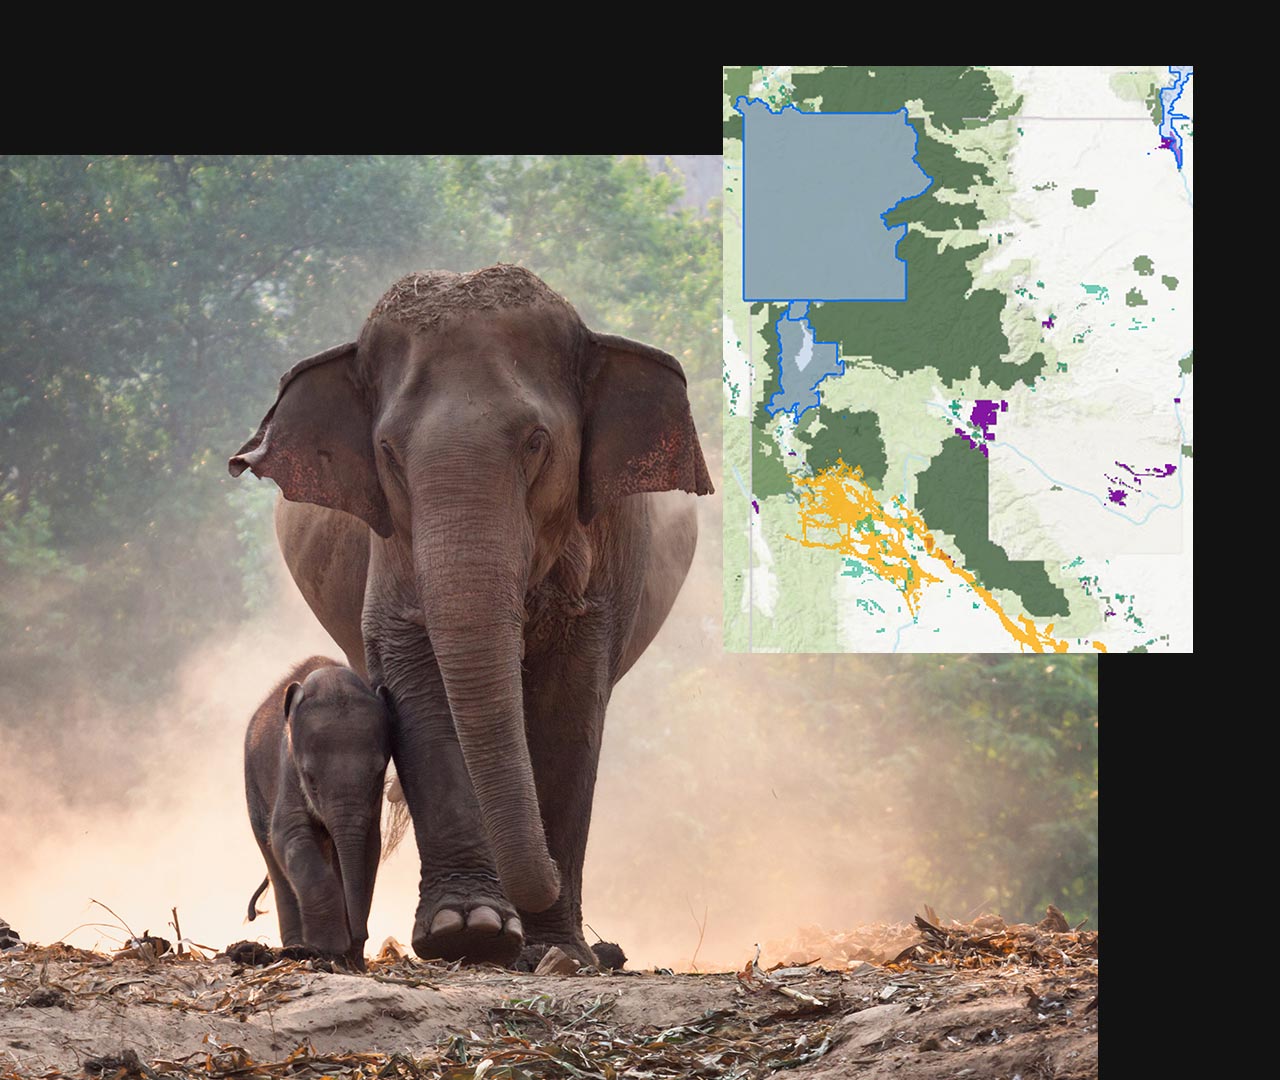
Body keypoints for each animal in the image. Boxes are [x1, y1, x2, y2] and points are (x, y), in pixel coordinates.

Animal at [244, 656, 392, 970]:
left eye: (378, 776)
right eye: (310, 779)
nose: (359, 938)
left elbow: (369, 848)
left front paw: (346, 956)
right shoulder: (287, 771)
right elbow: (288, 837)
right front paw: (330, 946)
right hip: (252, 783)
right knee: (271, 854)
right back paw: (296, 947)